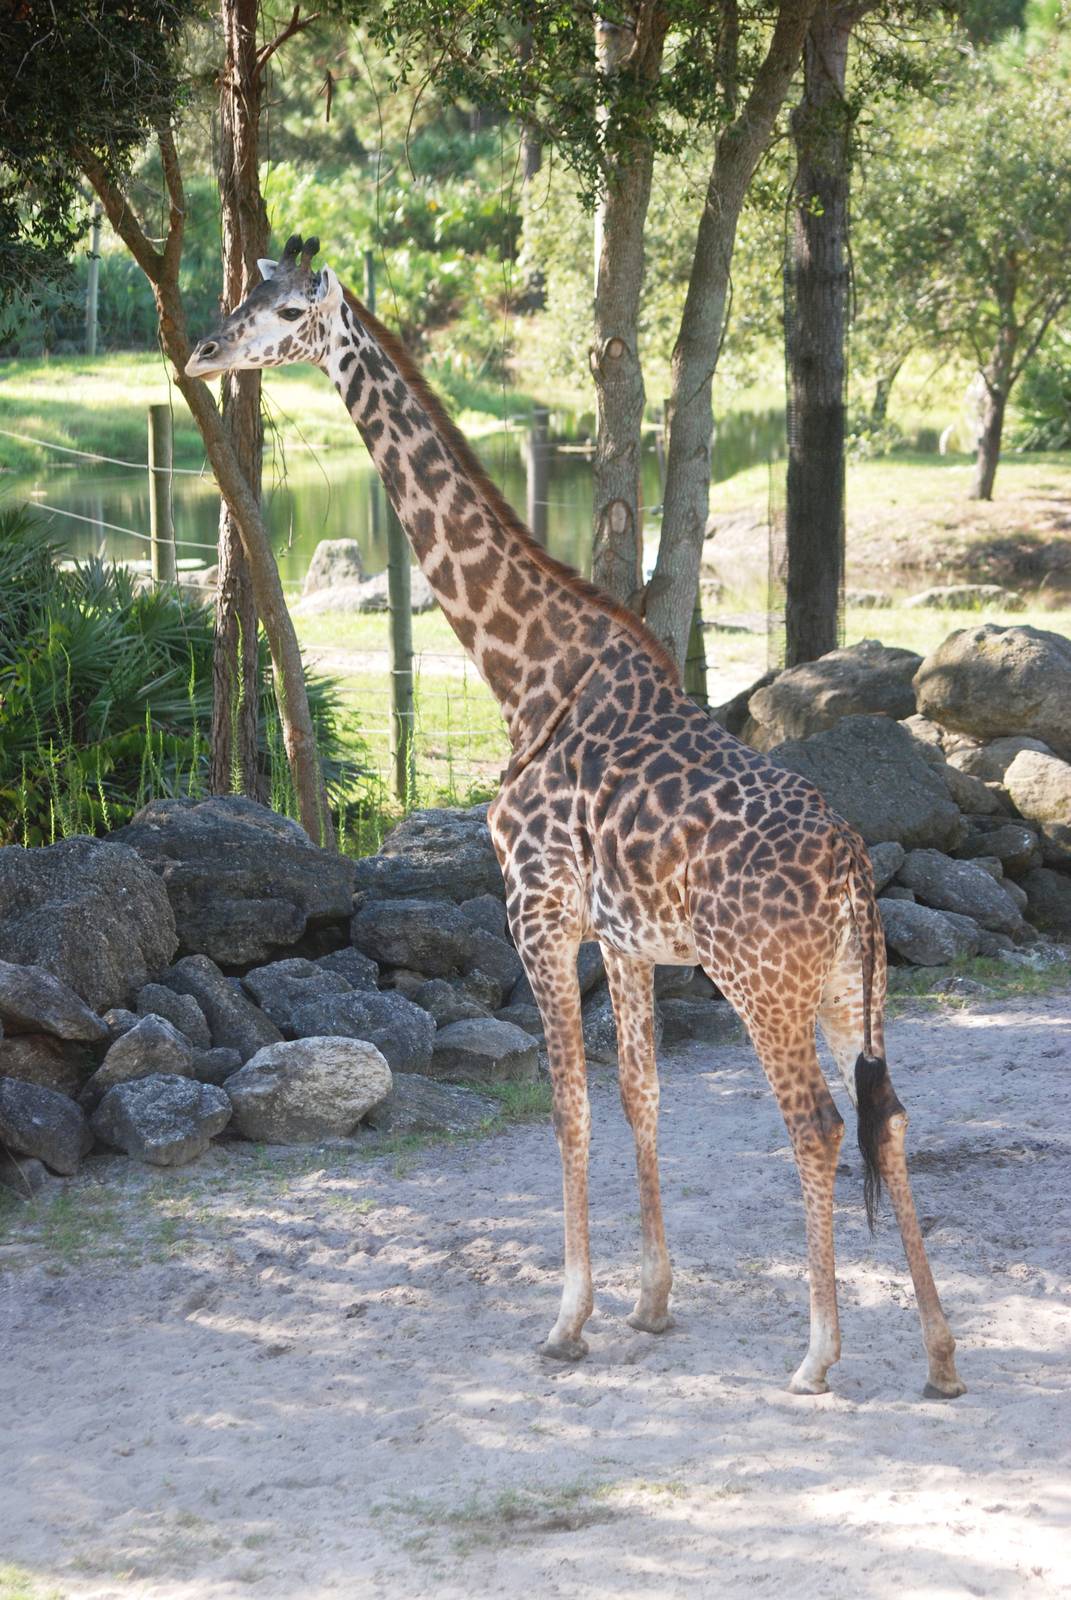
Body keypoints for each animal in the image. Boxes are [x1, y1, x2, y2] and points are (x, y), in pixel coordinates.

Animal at [187, 234, 965, 1399]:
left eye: (285, 312)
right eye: (245, 290)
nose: (200, 351)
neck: (526, 675)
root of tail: (851, 871)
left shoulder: (539, 913)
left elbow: (568, 1106)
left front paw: (567, 1320)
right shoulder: (628, 939)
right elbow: (640, 1095)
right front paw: (650, 1302)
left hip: (762, 982)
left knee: (820, 1125)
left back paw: (818, 1353)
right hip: (844, 986)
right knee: (891, 1119)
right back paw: (941, 1355)